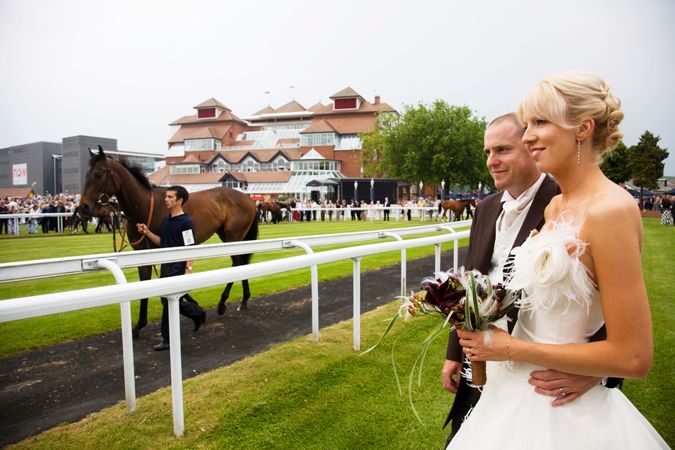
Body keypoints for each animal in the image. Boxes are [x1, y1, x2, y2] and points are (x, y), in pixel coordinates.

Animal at [78, 146, 258, 340]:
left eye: (98, 174)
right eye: (86, 174)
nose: (83, 207)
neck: (144, 208)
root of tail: (249, 199)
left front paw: (195, 310)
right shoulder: (145, 255)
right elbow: (149, 284)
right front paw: (139, 325)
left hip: (234, 235)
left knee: (238, 263)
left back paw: (224, 303)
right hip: (226, 235)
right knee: (240, 263)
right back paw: (243, 299)